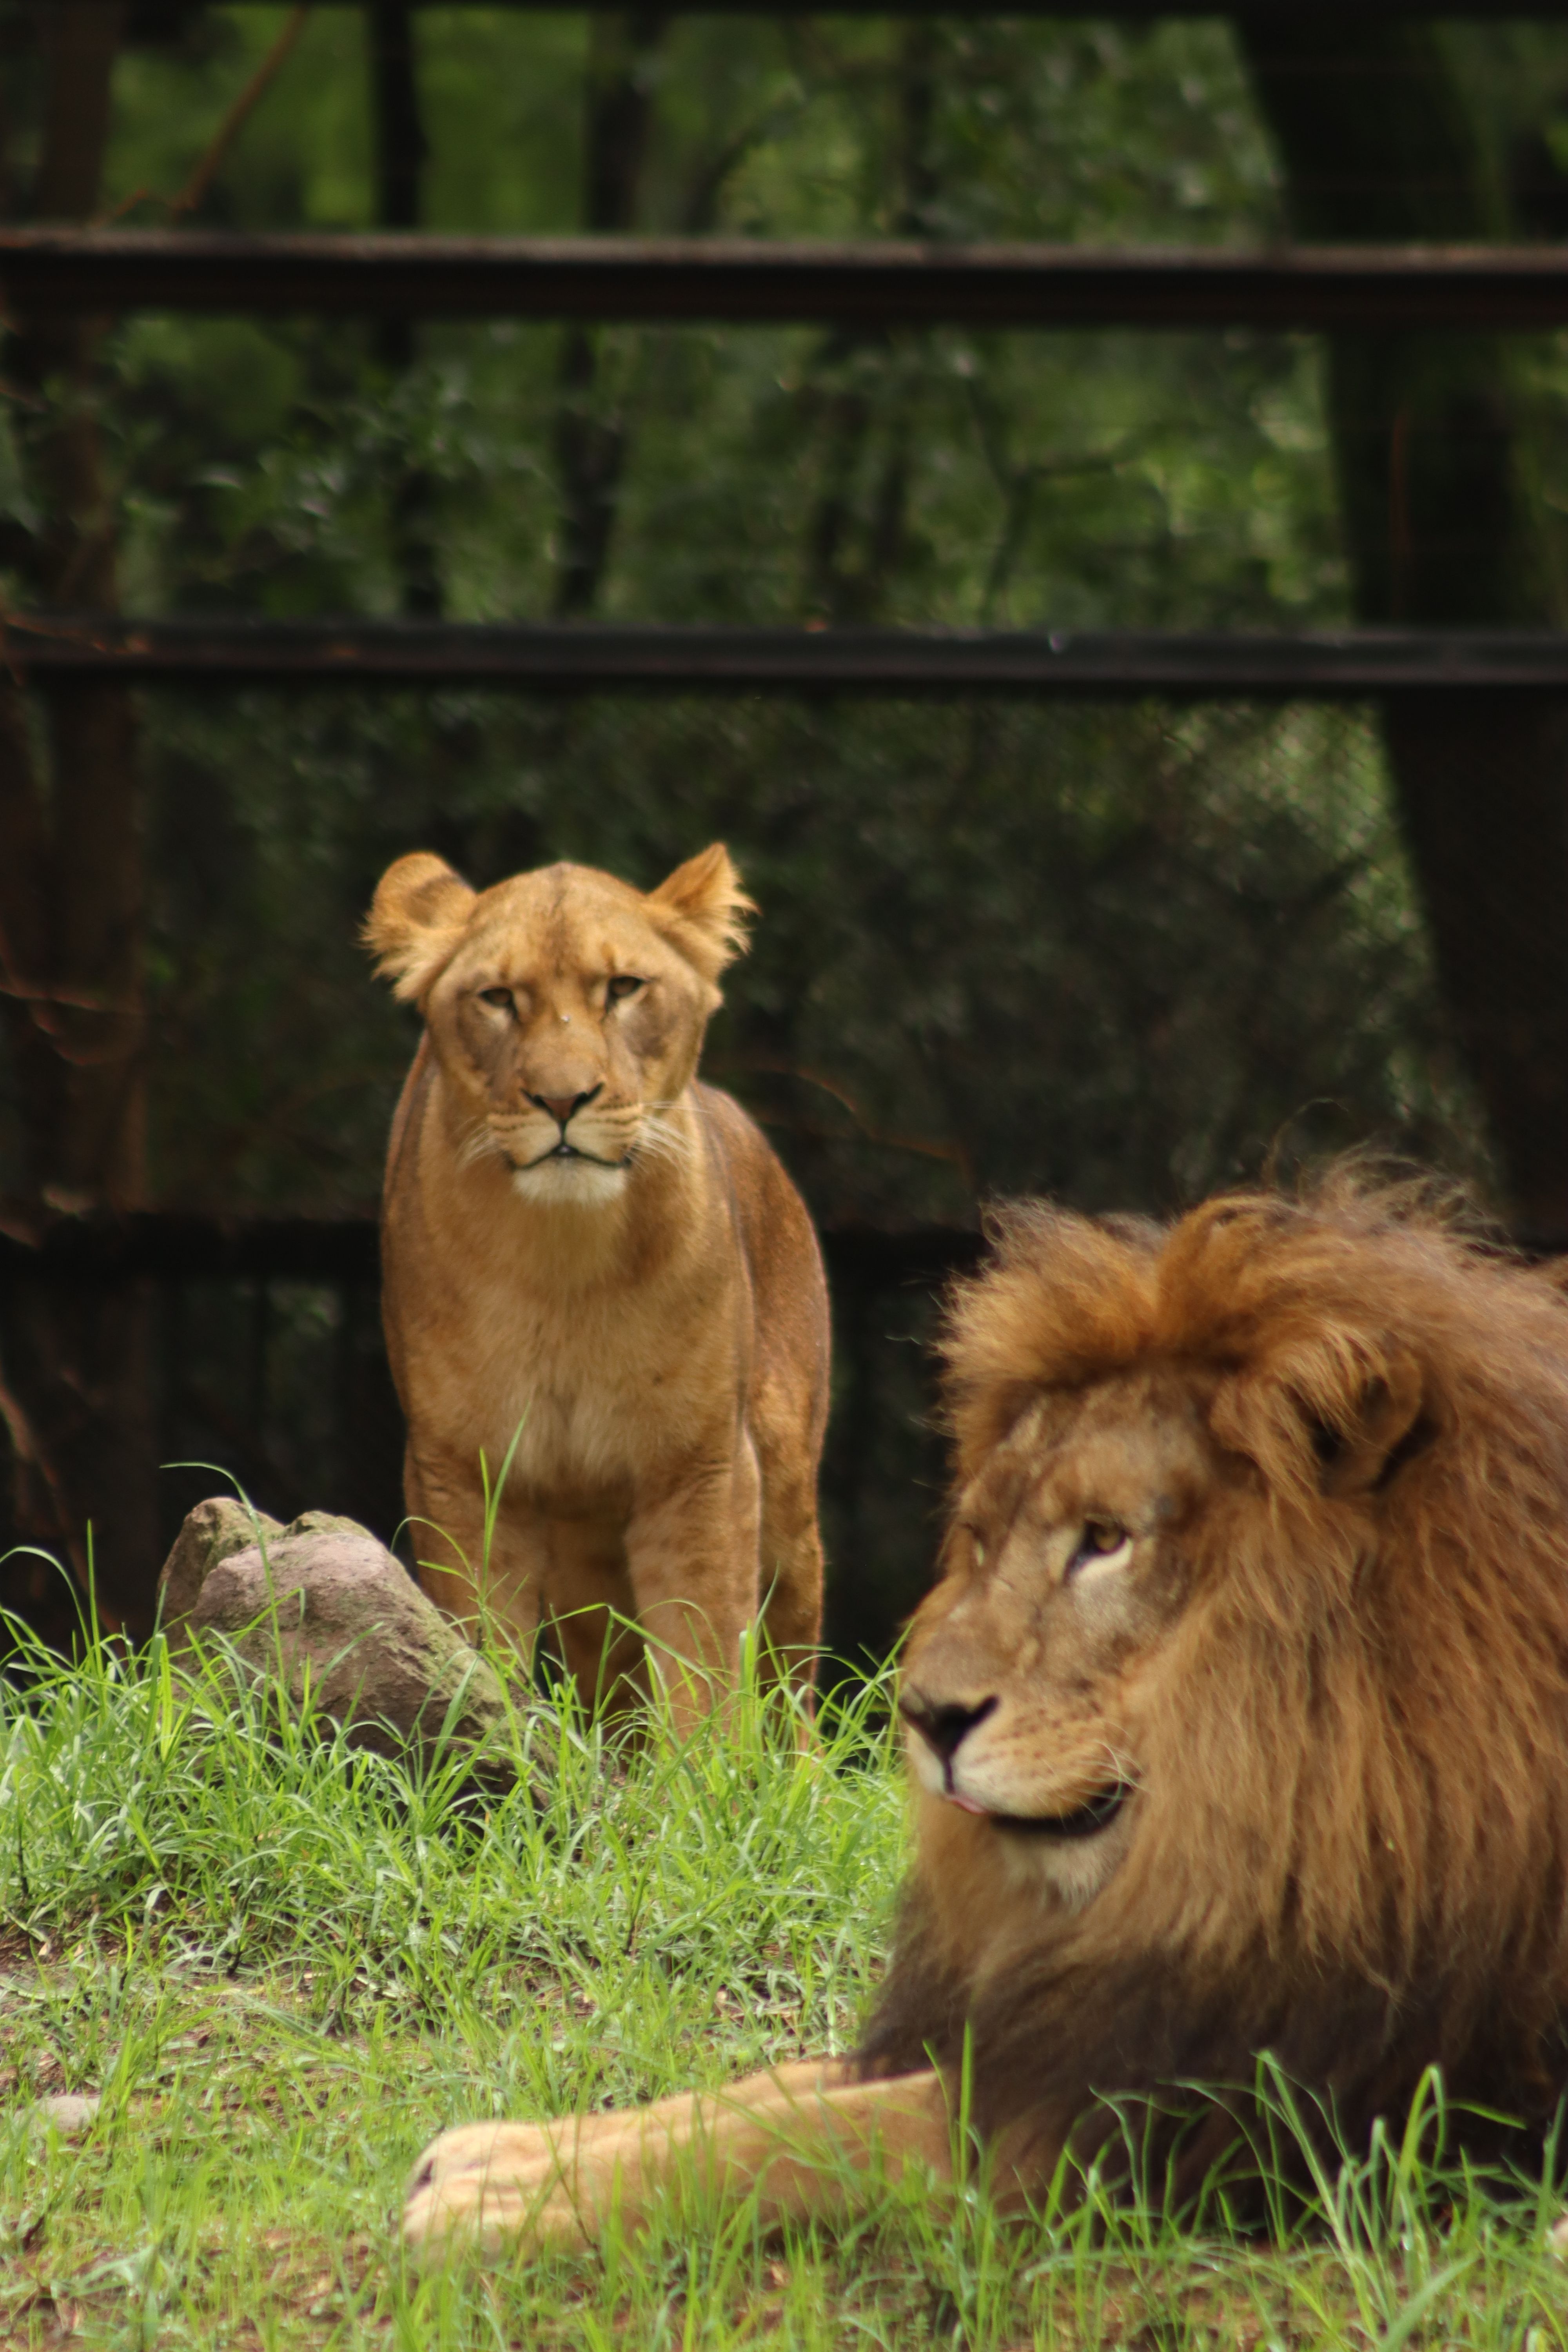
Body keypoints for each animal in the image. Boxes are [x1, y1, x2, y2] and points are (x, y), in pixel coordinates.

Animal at [366, 843, 829, 1723]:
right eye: (498, 998)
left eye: (622, 988)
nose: (562, 1099)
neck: (566, 1272)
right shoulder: (464, 1471)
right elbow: (477, 1641)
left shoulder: (701, 1469)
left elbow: (705, 1661)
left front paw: (706, 1764)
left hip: (787, 1497)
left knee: (791, 1680)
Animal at [404, 1174, 1568, 2257]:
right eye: (982, 1535)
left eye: (1106, 1538)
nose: (924, 1717)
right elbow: (779, 2085)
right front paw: (503, 2149)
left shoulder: (1183, 2112)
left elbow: (799, 2140)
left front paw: (499, 2203)